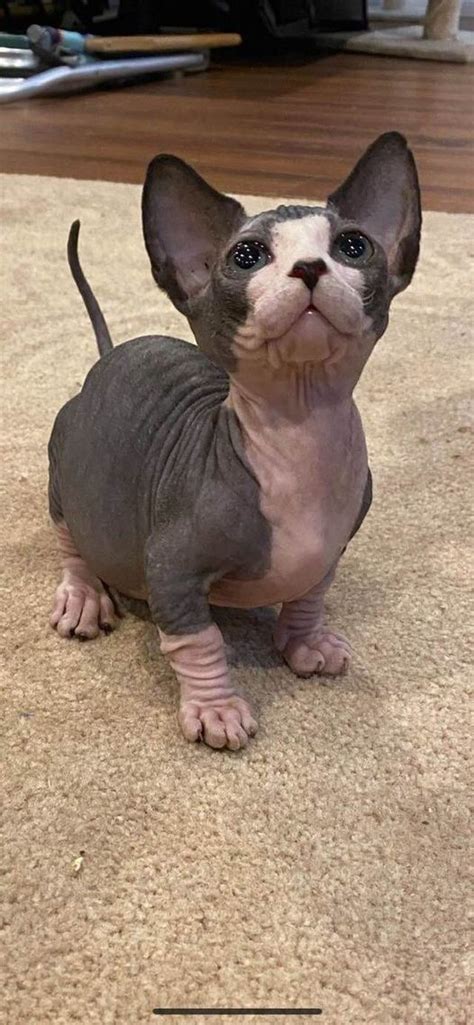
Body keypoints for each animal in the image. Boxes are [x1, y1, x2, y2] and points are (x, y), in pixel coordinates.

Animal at [48, 132, 422, 750]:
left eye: (352, 245)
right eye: (247, 256)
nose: (310, 268)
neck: (302, 429)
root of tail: (108, 358)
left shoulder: (333, 547)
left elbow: (310, 595)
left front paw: (306, 643)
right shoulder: (172, 566)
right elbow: (200, 643)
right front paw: (216, 709)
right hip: (62, 468)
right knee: (71, 540)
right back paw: (83, 598)